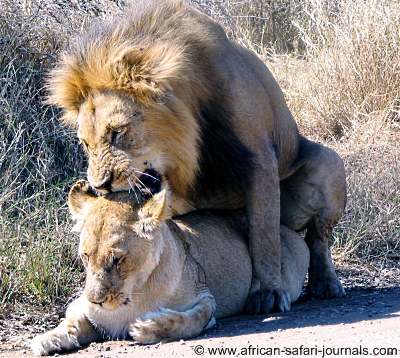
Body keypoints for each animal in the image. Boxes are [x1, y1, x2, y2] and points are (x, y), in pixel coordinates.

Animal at [31, 182, 308, 356]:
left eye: (118, 259)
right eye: (85, 256)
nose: (96, 300)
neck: (134, 295)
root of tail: (289, 230)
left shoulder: (205, 297)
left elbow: (190, 320)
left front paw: (145, 327)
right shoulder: (82, 308)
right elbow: (72, 322)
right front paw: (46, 339)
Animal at [46, 0, 346, 314]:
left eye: (117, 132)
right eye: (85, 143)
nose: (100, 186)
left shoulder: (259, 157)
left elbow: (264, 234)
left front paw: (268, 293)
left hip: (329, 163)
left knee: (317, 238)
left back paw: (325, 284)